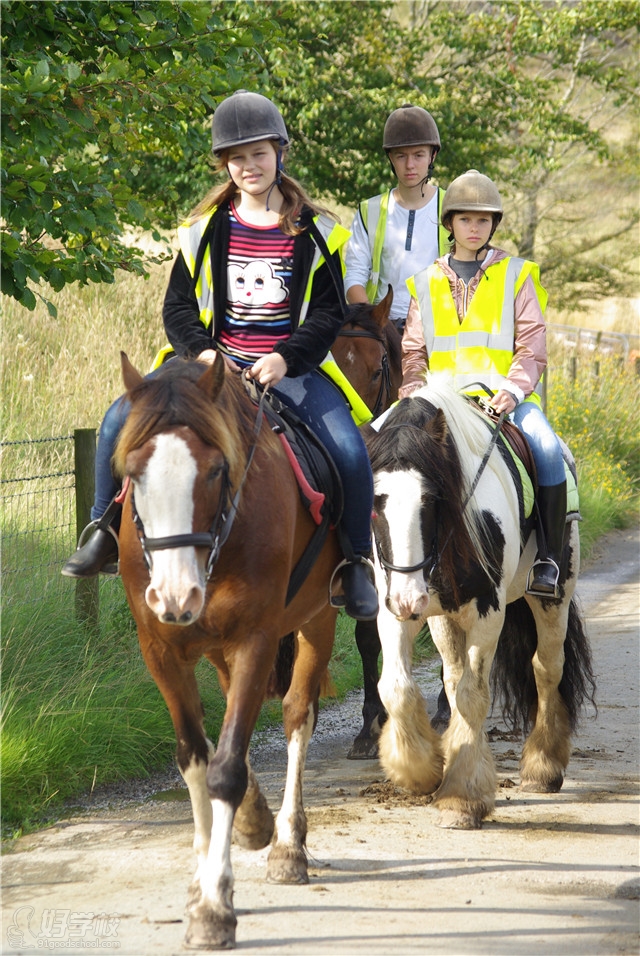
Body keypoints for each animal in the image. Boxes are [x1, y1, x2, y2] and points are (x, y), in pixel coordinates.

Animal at [115, 352, 344, 948]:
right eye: (133, 474)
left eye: (217, 471)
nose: (175, 595)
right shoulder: (161, 650)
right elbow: (197, 760)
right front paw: (204, 879)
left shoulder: (255, 640)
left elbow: (227, 767)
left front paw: (215, 906)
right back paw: (256, 821)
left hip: (318, 617)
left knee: (296, 713)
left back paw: (287, 845)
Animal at [368, 380, 596, 828]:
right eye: (375, 503)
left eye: (431, 500)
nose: (408, 598)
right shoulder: (396, 610)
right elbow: (398, 688)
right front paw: (421, 771)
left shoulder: (487, 611)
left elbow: (473, 695)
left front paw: (462, 798)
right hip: (441, 616)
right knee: (454, 678)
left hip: (553, 596)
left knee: (546, 668)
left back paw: (543, 767)